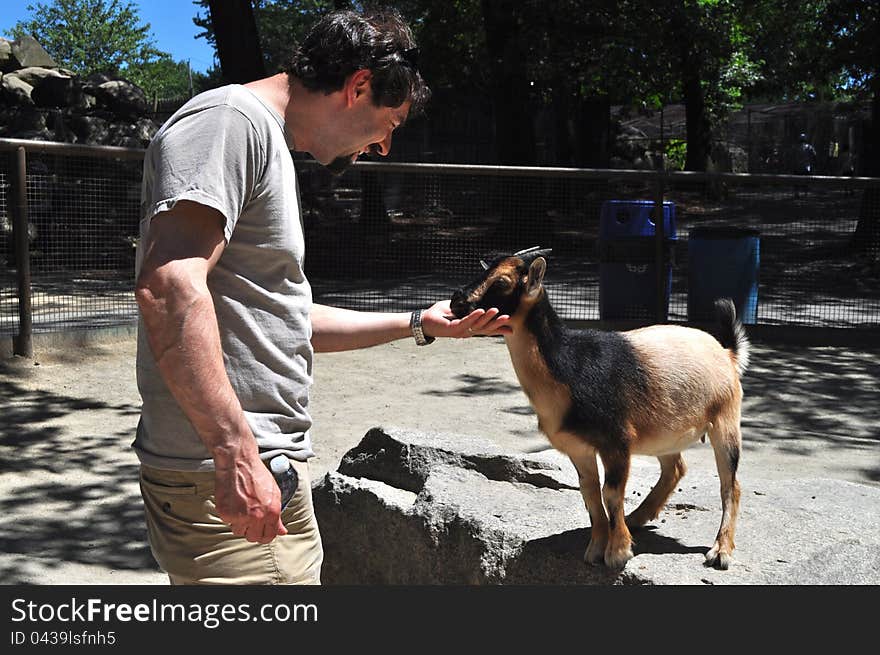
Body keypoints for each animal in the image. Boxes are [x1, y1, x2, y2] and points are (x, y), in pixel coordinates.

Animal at [454, 246, 748, 568]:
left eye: (501, 282)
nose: (457, 301)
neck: (569, 366)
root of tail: (728, 353)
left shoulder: (616, 441)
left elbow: (611, 493)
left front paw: (618, 553)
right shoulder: (578, 448)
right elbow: (591, 494)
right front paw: (596, 549)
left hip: (726, 420)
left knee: (730, 485)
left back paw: (720, 552)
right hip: (666, 432)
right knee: (675, 468)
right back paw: (636, 519)